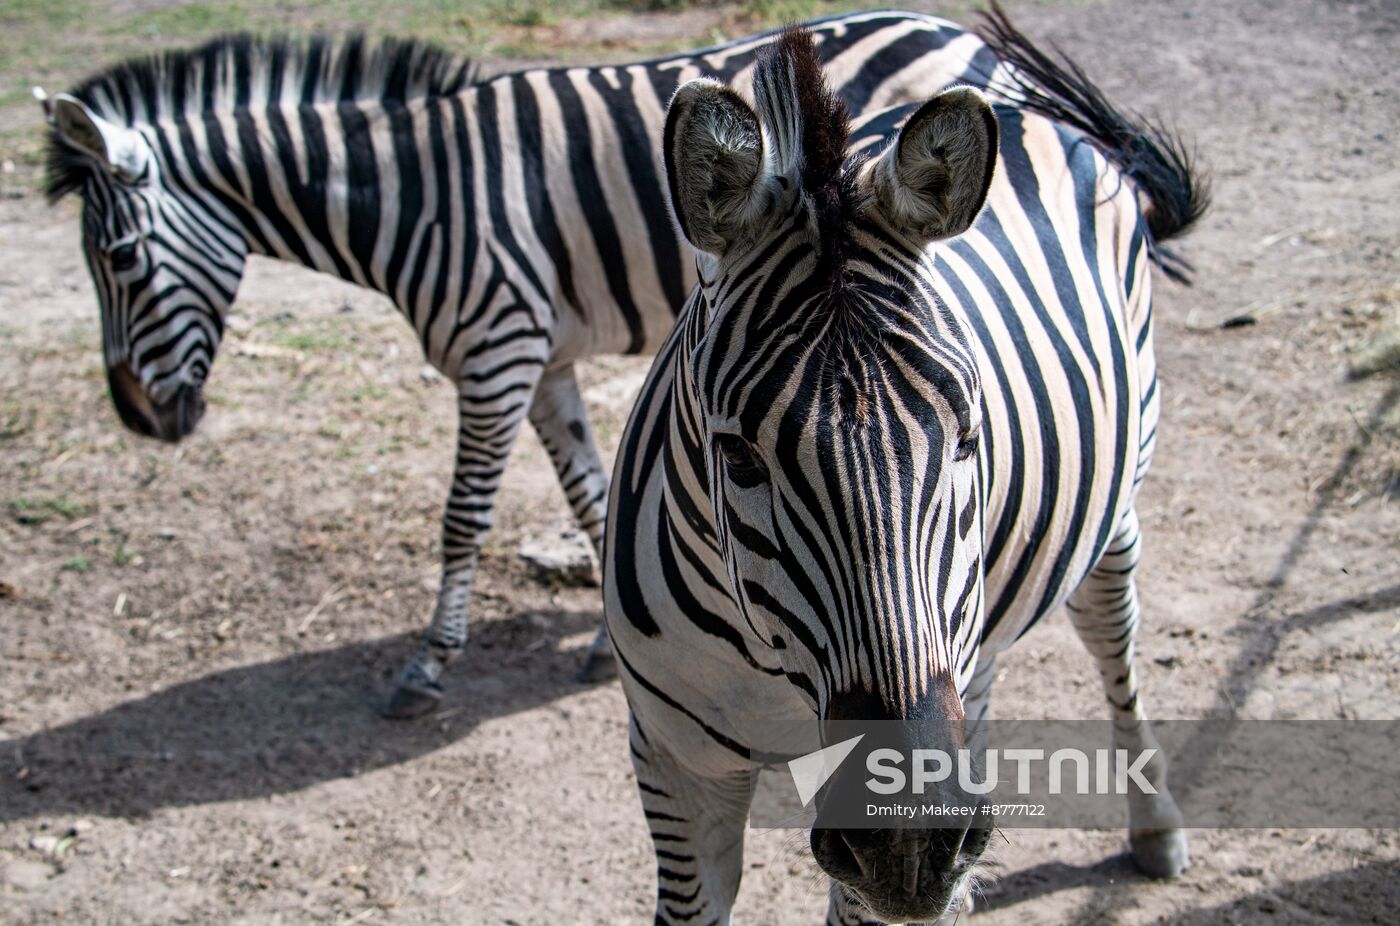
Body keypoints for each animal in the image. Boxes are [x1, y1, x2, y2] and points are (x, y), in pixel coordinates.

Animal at [38, 10, 1013, 714]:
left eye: (117, 259)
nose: (139, 420)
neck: (420, 193)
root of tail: (955, 28)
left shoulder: (495, 353)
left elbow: (461, 517)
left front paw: (428, 666)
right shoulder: (542, 367)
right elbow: (588, 494)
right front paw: (604, 641)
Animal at [602, 9, 1204, 924]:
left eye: (966, 440)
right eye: (737, 457)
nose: (913, 840)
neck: (769, 666)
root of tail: (1020, 101)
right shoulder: (676, 764)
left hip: (1110, 518)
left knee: (1115, 646)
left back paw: (1154, 823)